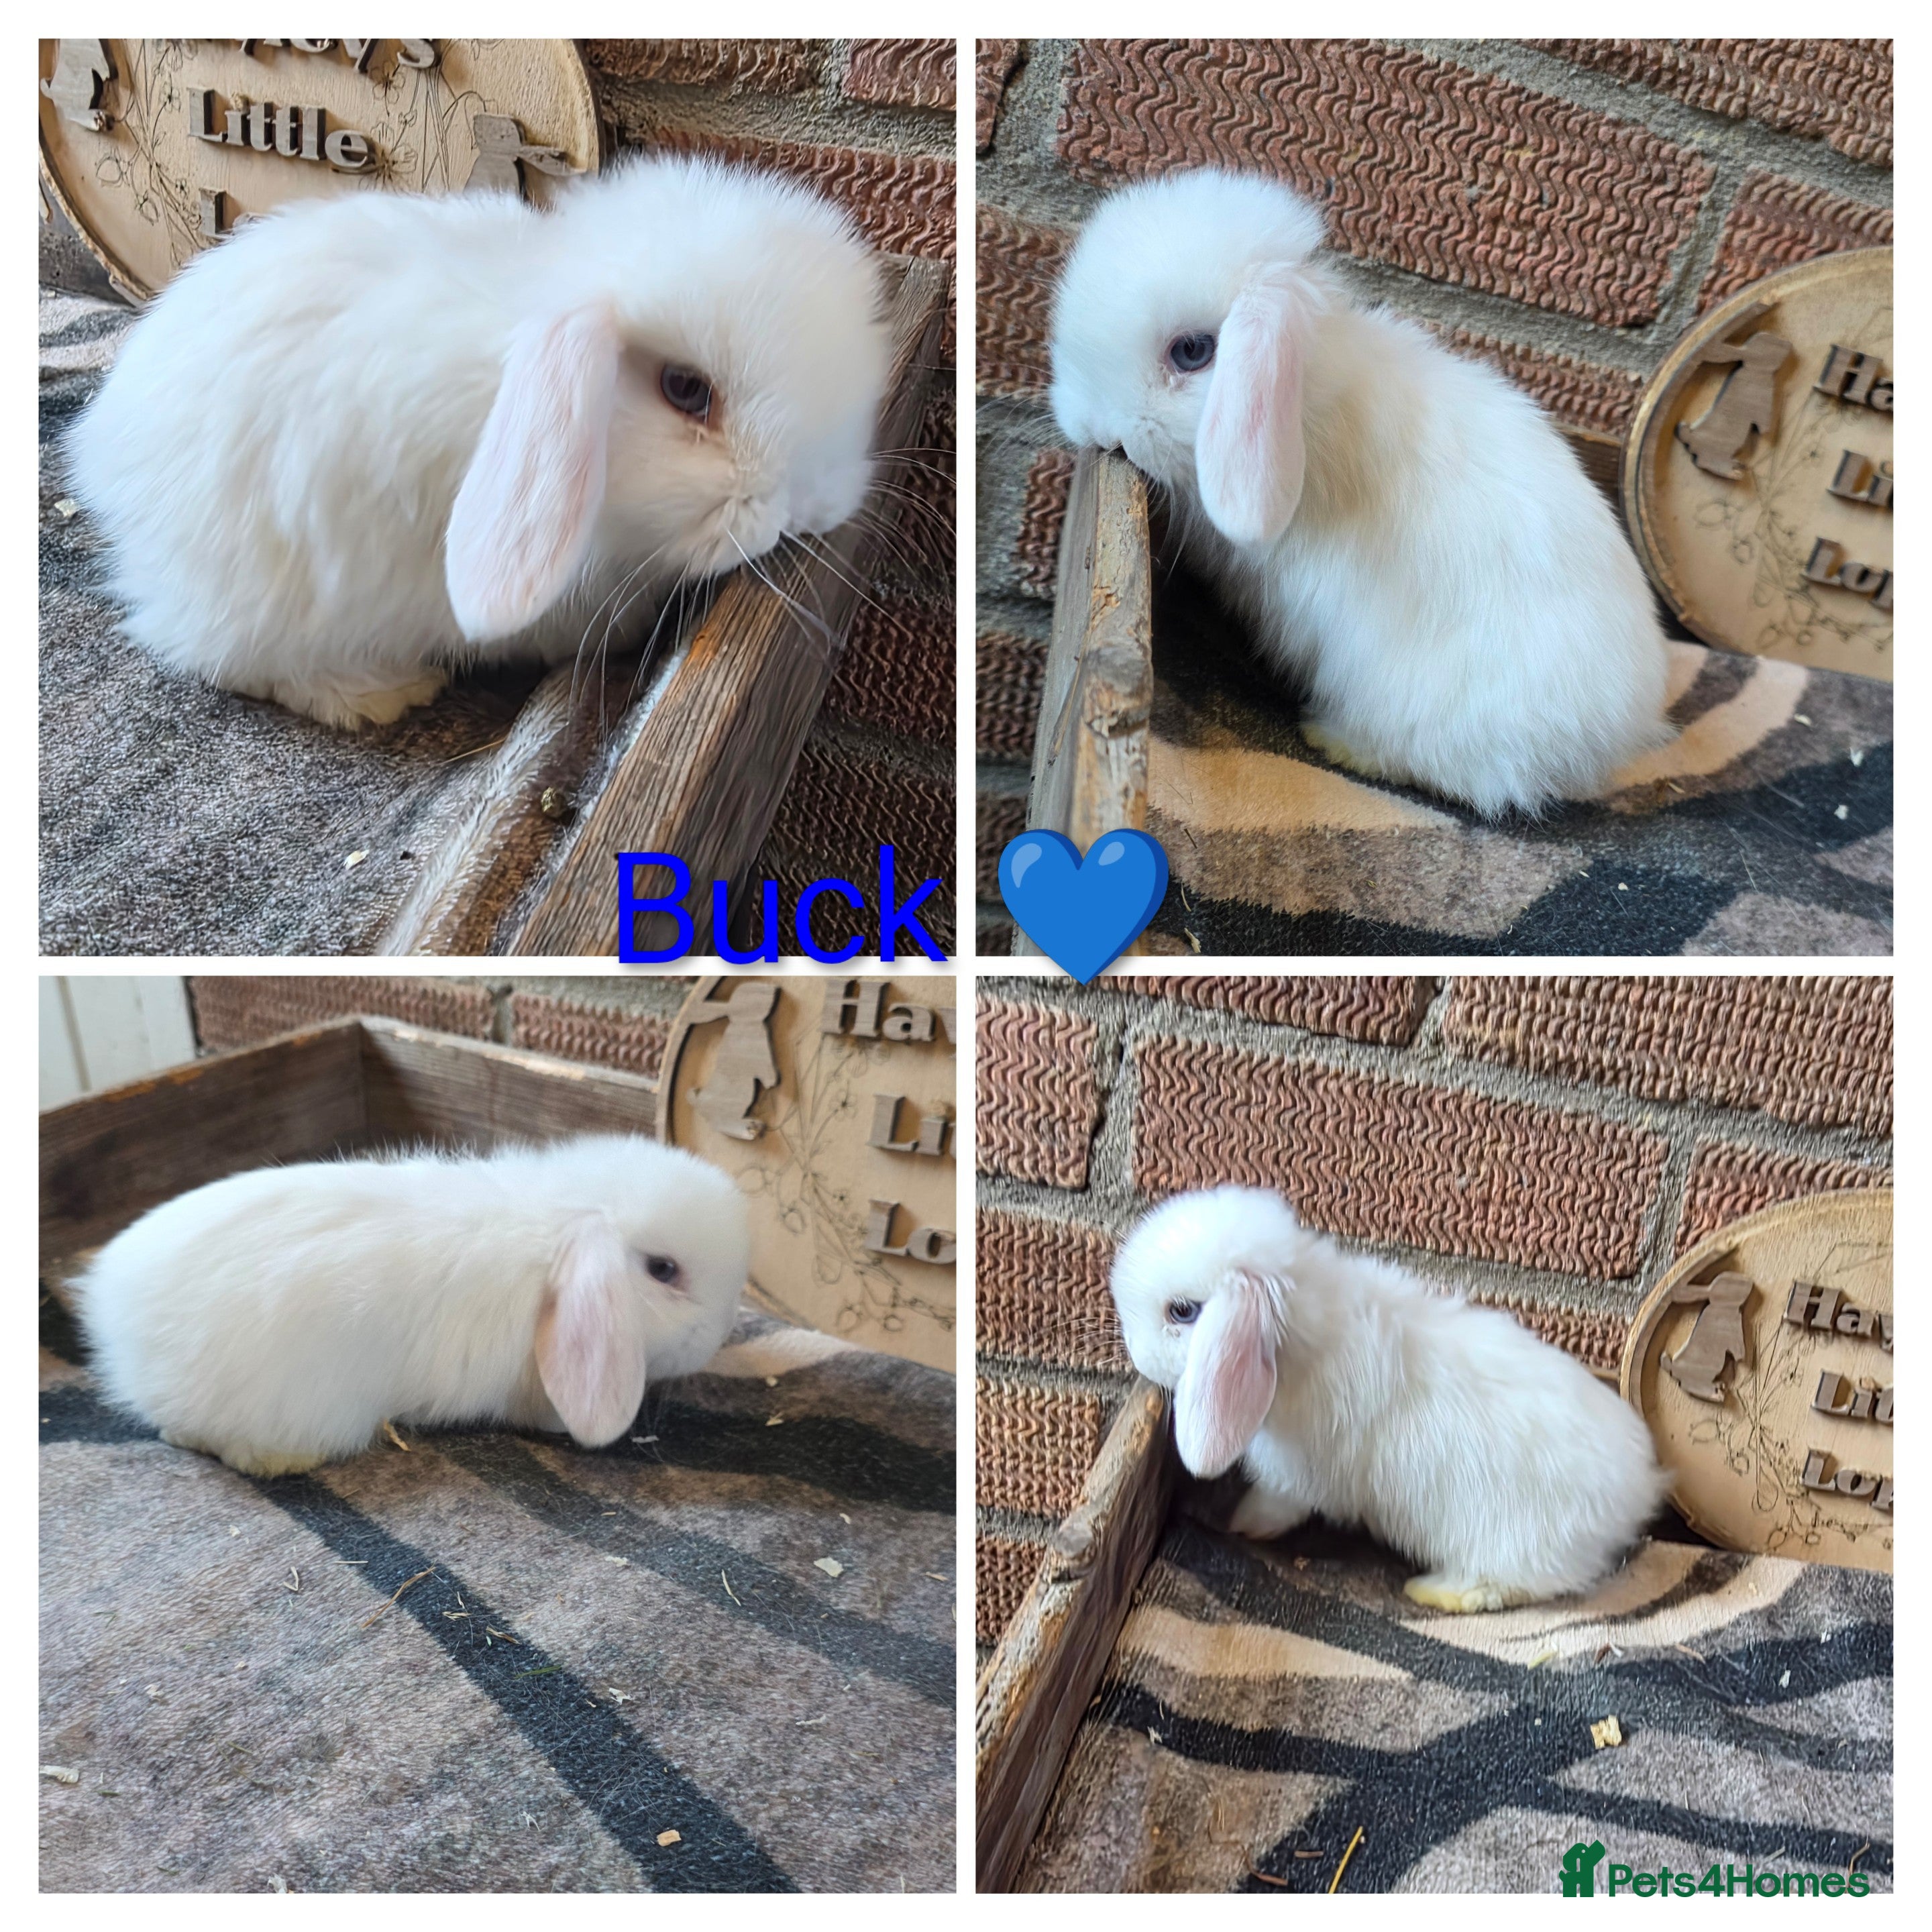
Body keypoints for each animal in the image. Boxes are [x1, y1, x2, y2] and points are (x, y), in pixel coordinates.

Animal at [64, 154, 891, 729]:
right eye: (686, 389)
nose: (812, 510)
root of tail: (104, 450)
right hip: (259, 592)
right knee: (229, 659)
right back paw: (379, 692)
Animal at [1109, 1186, 1667, 1610]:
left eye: (1182, 1311)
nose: (1134, 1354)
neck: (1298, 1336)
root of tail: (1643, 1490)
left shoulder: (1296, 1477)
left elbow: (1272, 1507)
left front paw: (1239, 1526)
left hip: (1521, 1547)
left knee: (1514, 1586)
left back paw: (1433, 1591)